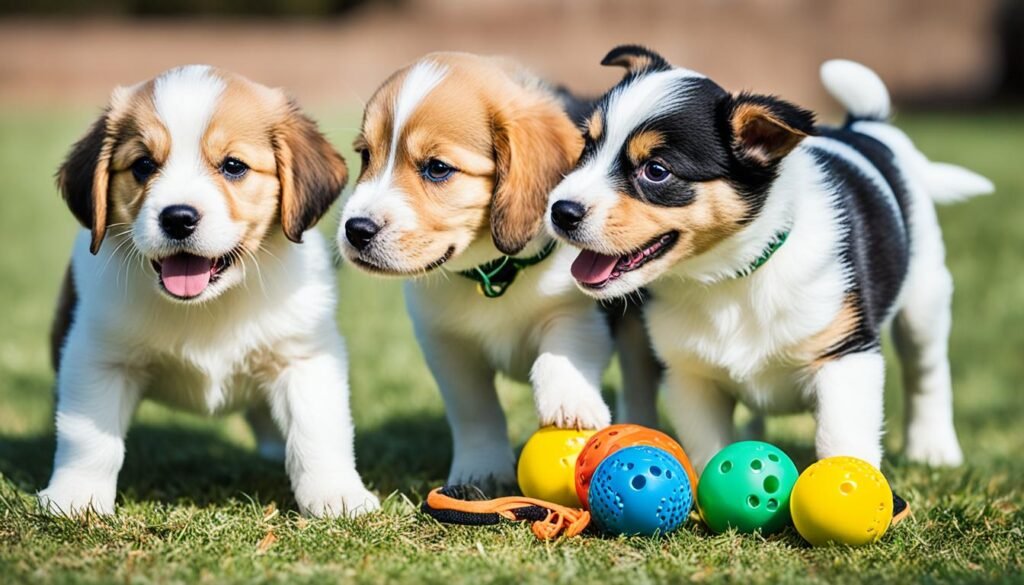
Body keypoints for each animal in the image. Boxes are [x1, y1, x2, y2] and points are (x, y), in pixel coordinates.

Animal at [41, 66, 380, 520]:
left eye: (233, 166)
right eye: (143, 165)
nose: (178, 218)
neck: (209, 305)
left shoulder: (303, 358)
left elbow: (318, 434)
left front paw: (336, 495)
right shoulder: (98, 359)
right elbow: (88, 438)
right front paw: (75, 496)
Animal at [335, 51, 655, 489]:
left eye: (437, 168)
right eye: (365, 155)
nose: (355, 230)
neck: (495, 271)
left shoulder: (580, 310)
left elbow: (559, 351)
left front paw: (569, 402)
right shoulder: (447, 345)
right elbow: (475, 410)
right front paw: (480, 469)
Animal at [552, 46, 991, 475]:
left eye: (656, 171)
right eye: (586, 148)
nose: (560, 211)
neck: (730, 275)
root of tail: (866, 127)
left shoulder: (847, 355)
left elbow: (842, 440)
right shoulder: (690, 375)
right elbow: (709, 448)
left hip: (925, 295)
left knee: (927, 372)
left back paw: (933, 449)